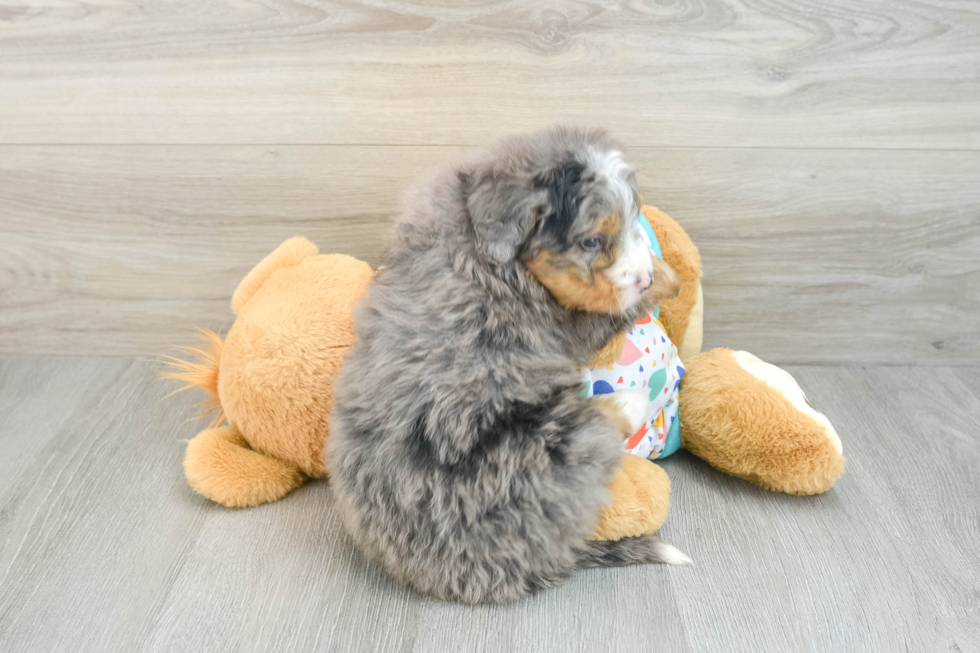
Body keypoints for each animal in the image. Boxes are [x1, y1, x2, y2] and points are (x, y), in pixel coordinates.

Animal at [326, 125, 684, 604]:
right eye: (591, 241)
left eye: (633, 219)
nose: (642, 277)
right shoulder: (569, 324)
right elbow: (612, 312)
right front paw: (667, 278)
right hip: (538, 449)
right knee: (598, 432)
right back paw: (630, 402)